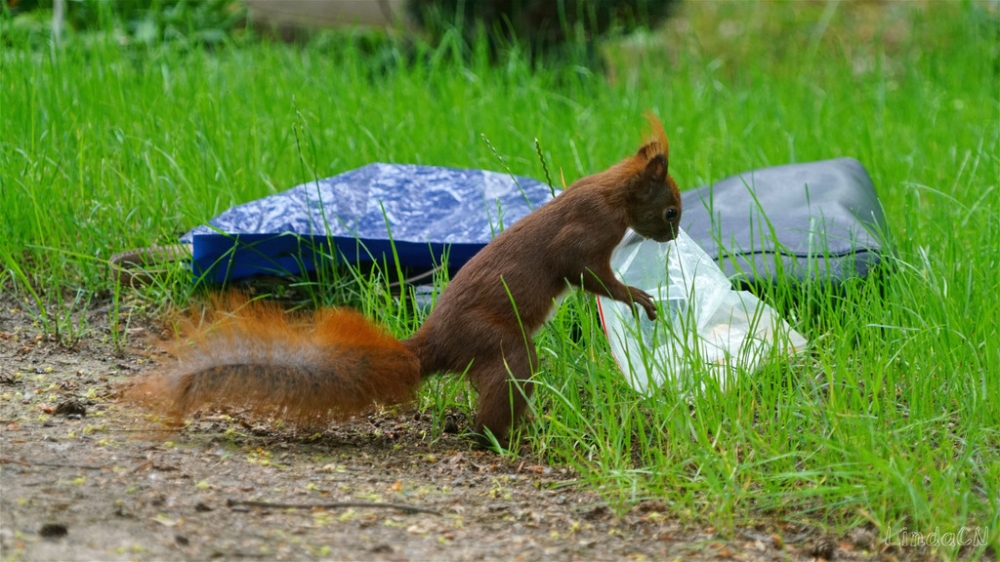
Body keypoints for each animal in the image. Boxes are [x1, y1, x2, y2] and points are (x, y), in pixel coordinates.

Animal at [131, 118, 680, 446]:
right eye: (671, 209)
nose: (675, 234)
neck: (613, 194)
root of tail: (433, 346)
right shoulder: (583, 234)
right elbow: (583, 271)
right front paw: (637, 298)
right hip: (503, 346)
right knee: (496, 402)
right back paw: (504, 438)